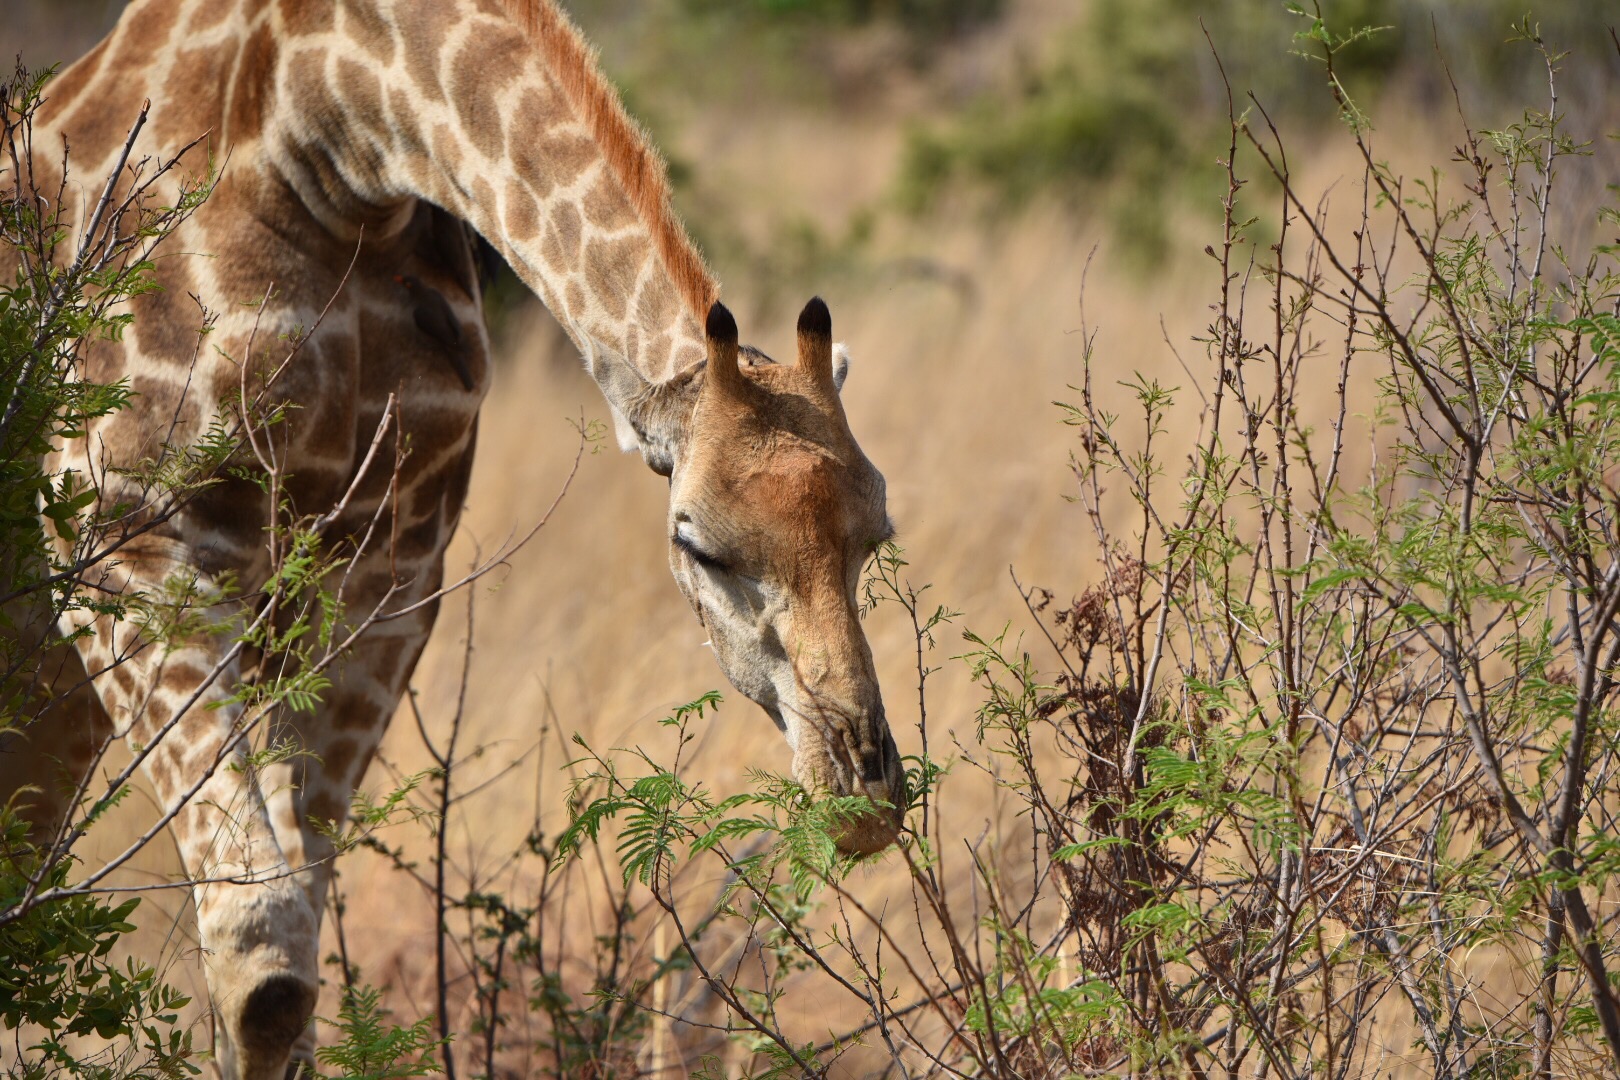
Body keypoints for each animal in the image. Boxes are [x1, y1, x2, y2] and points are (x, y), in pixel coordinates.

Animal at [0, 4, 907, 1075]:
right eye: (703, 548)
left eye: (874, 536)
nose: (862, 797)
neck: (324, 139)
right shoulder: (127, 539)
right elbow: (261, 959)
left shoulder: (383, 574)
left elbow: (296, 926)